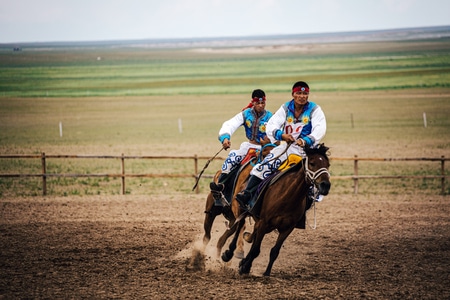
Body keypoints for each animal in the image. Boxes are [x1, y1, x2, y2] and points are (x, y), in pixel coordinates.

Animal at [221, 144, 330, 276]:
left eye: (327, 165)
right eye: (312, 163)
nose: (325, 185)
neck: (287, 196)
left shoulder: (287, 228)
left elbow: (274, 251)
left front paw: (266, 272)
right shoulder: (264, 222)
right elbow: (256, 249)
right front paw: (245, 267)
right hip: (242, 209)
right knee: (240, 226)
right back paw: (229, 253)